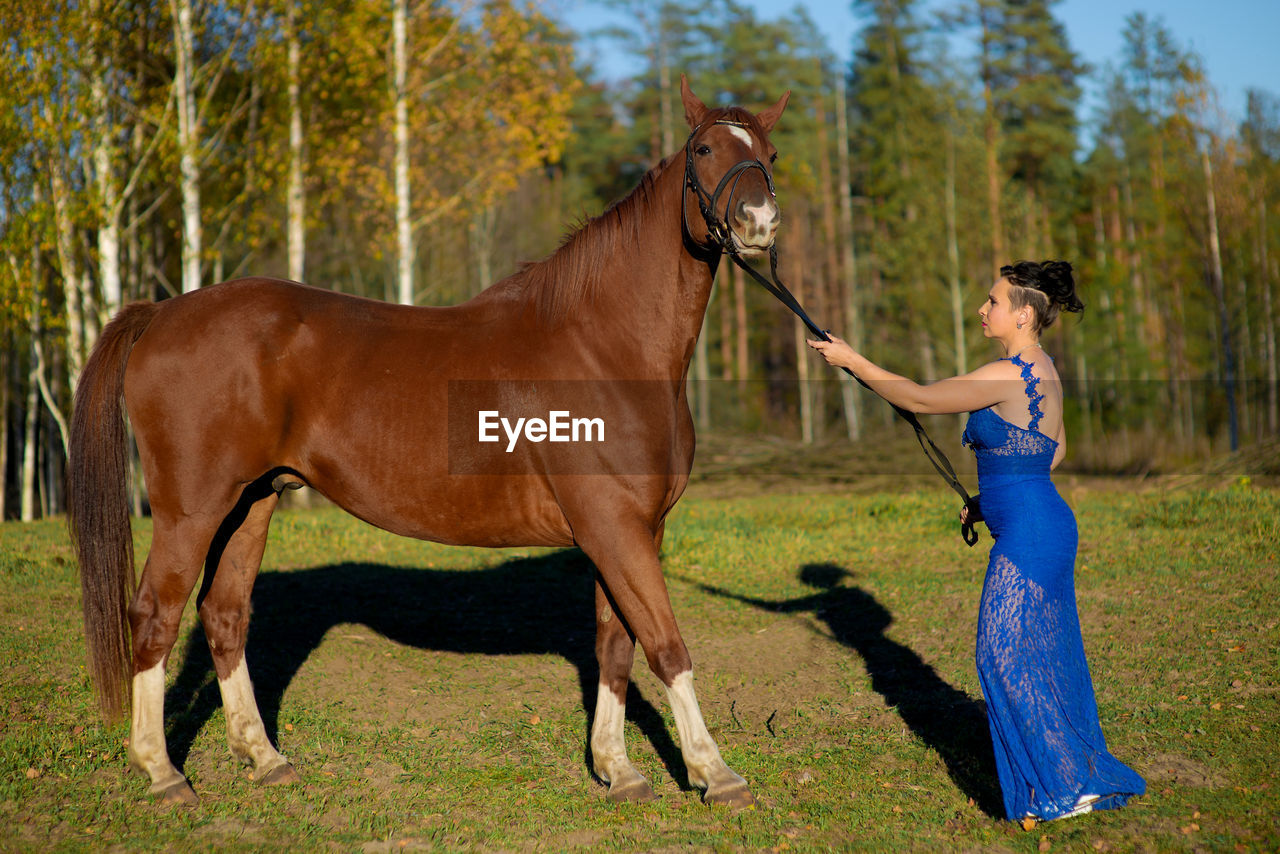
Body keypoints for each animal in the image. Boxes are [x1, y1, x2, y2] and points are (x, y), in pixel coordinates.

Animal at [70, 78, 788, 809]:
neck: (604, 346)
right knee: (154, 615)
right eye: (704, 150)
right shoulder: (615, 529)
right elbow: (666, 645)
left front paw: (618, 769)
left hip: (252, 502)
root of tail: (162, 313)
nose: (759, 222)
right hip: (191, 510)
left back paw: (264, 757)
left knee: (224, 615)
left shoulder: (631, 531)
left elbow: (616, 647)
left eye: (770, 155)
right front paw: (715, 772)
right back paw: (163, 771)